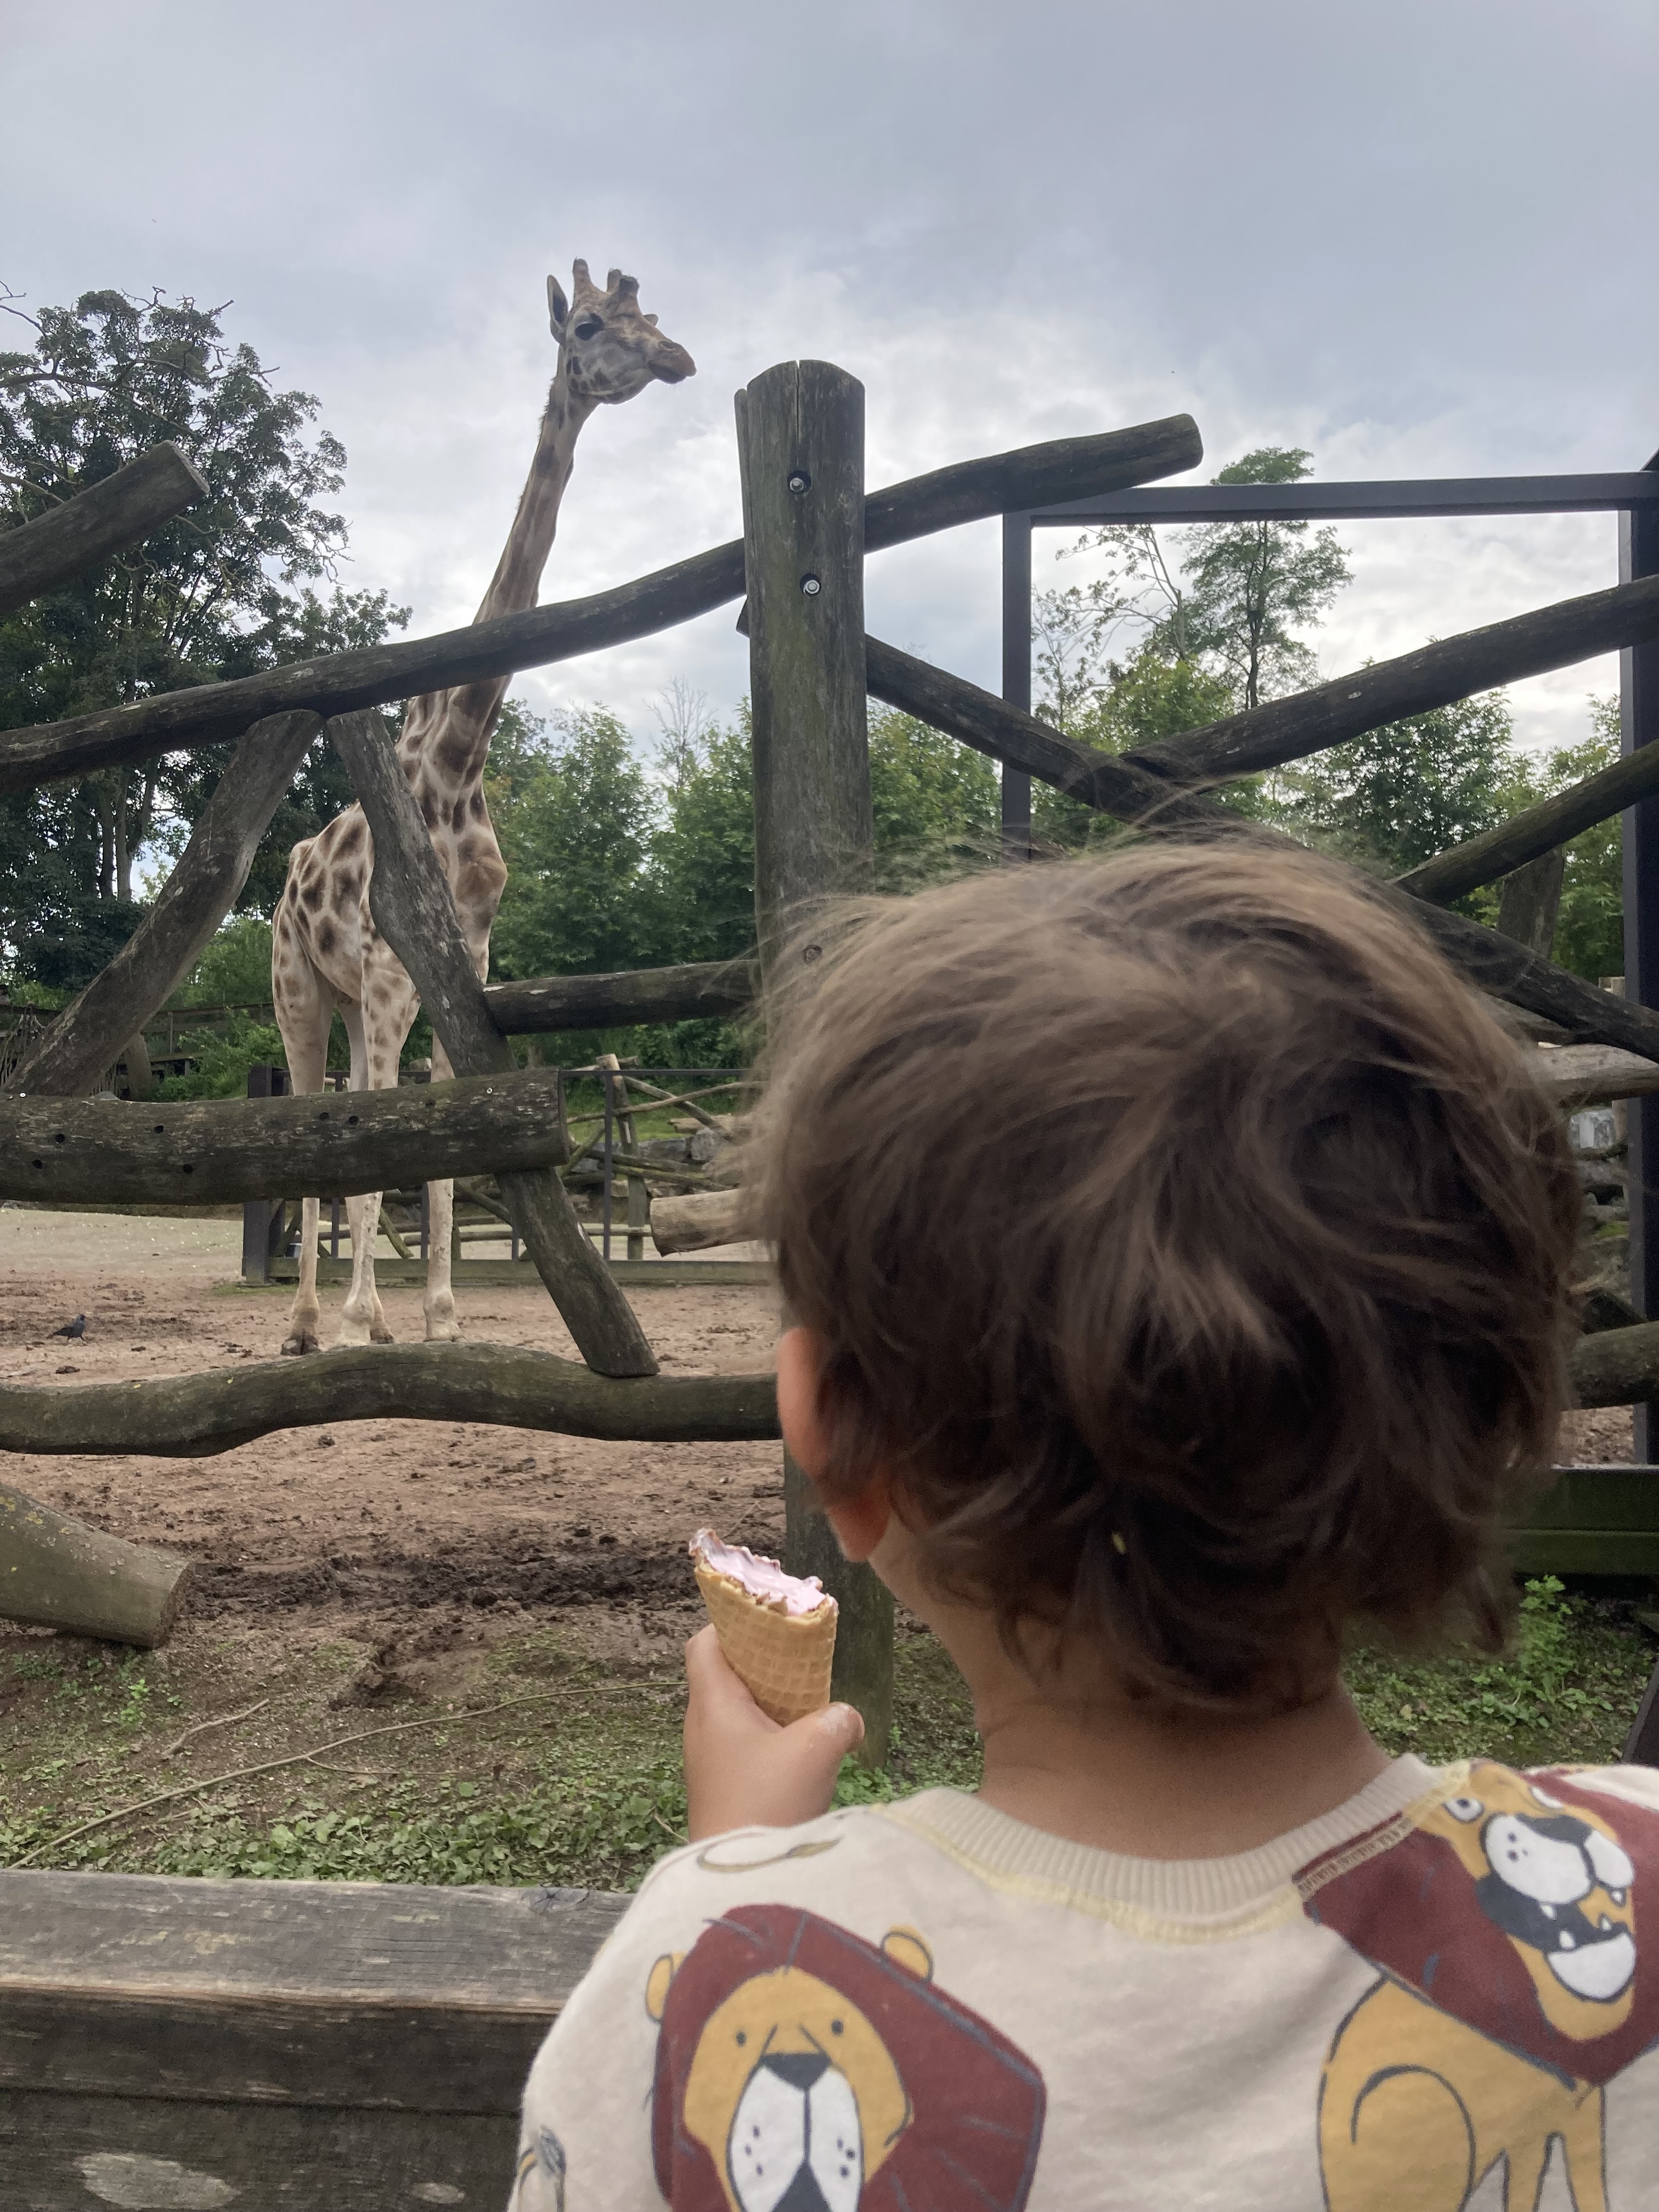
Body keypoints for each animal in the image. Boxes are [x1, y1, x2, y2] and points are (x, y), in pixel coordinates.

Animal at [271, 263, 695, 1356]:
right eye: (586, 324)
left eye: (653, 316)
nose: (677, 359)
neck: (460, 759)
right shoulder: (387, 973)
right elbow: (372, 1154)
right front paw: (364, 1324)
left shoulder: (465, 967)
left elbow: (442, 1160)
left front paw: (440, 1322)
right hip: (300, 988)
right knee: (309, 1119)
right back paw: (306, 1325)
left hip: (350, 999)